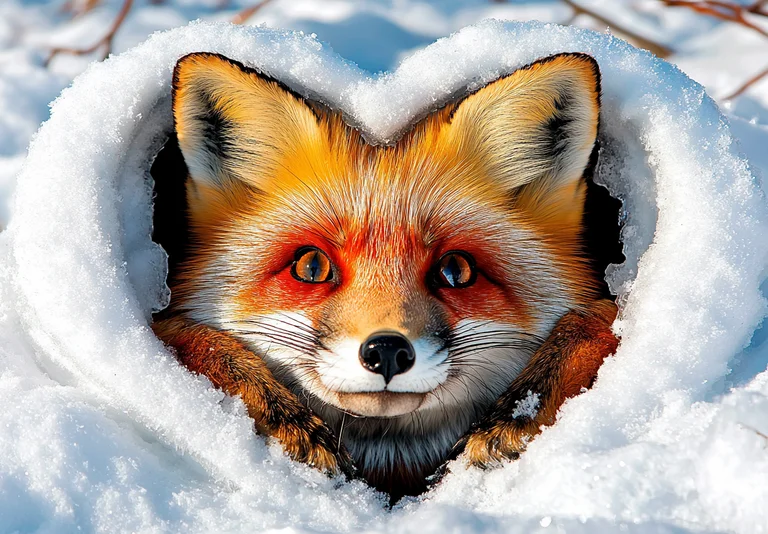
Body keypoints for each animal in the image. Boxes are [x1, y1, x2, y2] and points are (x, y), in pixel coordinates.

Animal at [151, 51, 620, 500]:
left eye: (456, 270)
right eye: (311, 266)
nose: (387, 351)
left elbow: (598, 322)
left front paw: (520, 409)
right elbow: (189, 337)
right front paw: (281, 417)